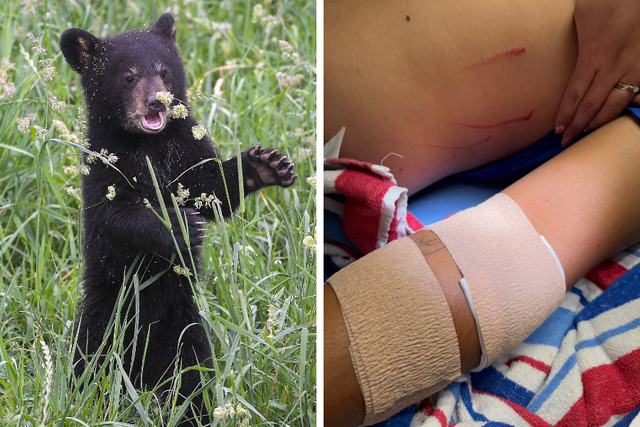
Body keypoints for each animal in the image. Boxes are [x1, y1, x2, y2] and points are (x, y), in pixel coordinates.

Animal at [59, 13, 297, 426]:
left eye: (164, 71)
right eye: (128, 77)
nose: (158, 101)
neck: (149, 144)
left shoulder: (186, 146)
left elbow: (213, 191)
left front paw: (264, 165)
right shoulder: (104, 164)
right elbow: (117, 214)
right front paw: (180, 226)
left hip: (186, 329)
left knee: (193, 376)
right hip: (103, 317)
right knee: (89, 364)